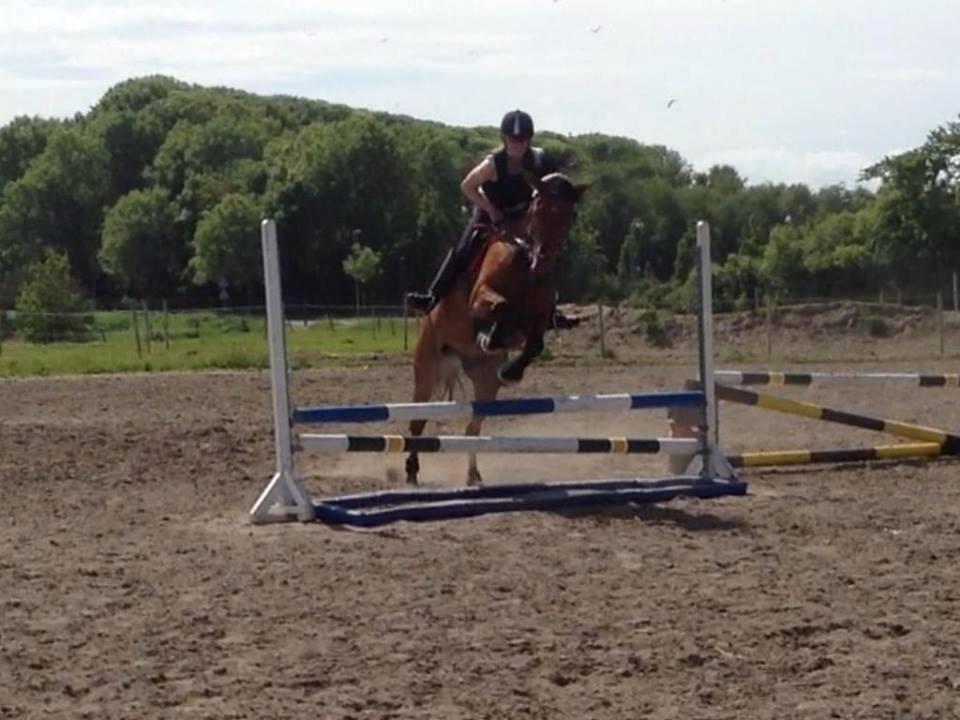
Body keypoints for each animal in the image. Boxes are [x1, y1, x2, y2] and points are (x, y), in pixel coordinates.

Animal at [405, 172, 588, 486]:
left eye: (568, 216)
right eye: (538, 209)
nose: (542, 263)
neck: (525, 261)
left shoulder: (540, 316)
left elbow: (535, 341)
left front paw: (512, 370)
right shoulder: (480, 297)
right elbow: (502, 308)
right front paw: (490, 336)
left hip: (485, 382)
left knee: (473, 428)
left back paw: (473, 475)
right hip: (427, 367)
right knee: (418, 421)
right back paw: (412, 471)